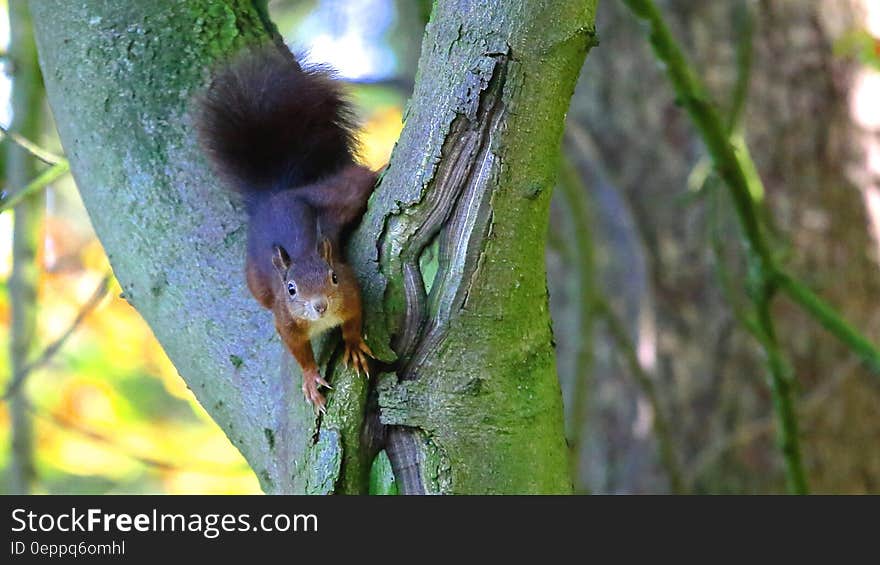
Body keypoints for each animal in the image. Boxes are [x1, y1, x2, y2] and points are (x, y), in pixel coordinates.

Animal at [196, 46, 374, 412]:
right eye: (291, 289)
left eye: (333, 276)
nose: (319, 306)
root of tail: (276, 195)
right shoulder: (286, 319)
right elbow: (298, 352)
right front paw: (309, 379)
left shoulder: (350, 293)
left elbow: (354, 322)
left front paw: (352, 345)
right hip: (256, 282)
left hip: (342, 195)